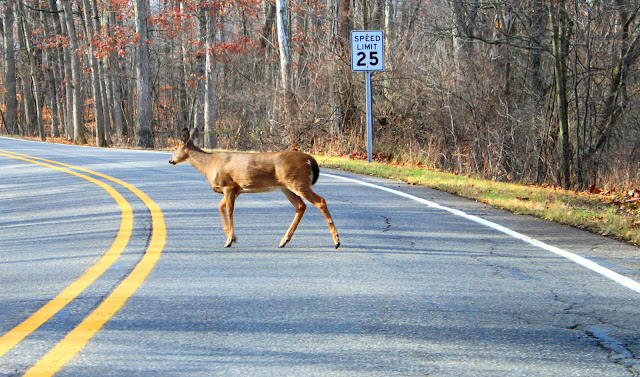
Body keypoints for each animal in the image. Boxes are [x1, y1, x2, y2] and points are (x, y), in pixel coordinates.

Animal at [169, 128, 340, 248]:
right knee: (301, 206)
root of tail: (309, 159)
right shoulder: (236, 189)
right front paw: (231, 235)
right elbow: (220, 207)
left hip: (298, 182)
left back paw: (336, 241)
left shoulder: (228, 185)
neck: (209, 165)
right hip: (286, 186)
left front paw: (229, 240)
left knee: (320, 201)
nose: (171, 160)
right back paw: (284, 240)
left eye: (175, 148)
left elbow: (229, 211)